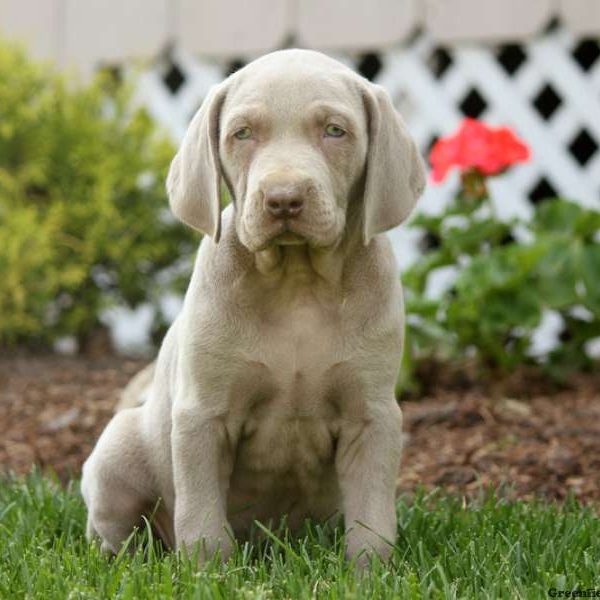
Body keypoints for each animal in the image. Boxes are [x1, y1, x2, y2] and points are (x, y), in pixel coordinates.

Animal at [81, 48, 426, 568]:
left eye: (335, 130)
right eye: (242, 134)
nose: (284, 200)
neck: (297, 283)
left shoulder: (373, 416)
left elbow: (372, 518)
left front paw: (369, 572)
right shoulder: (202, 415)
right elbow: (202, 517)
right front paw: (207, 573)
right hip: (116, 449)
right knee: (118, 531)